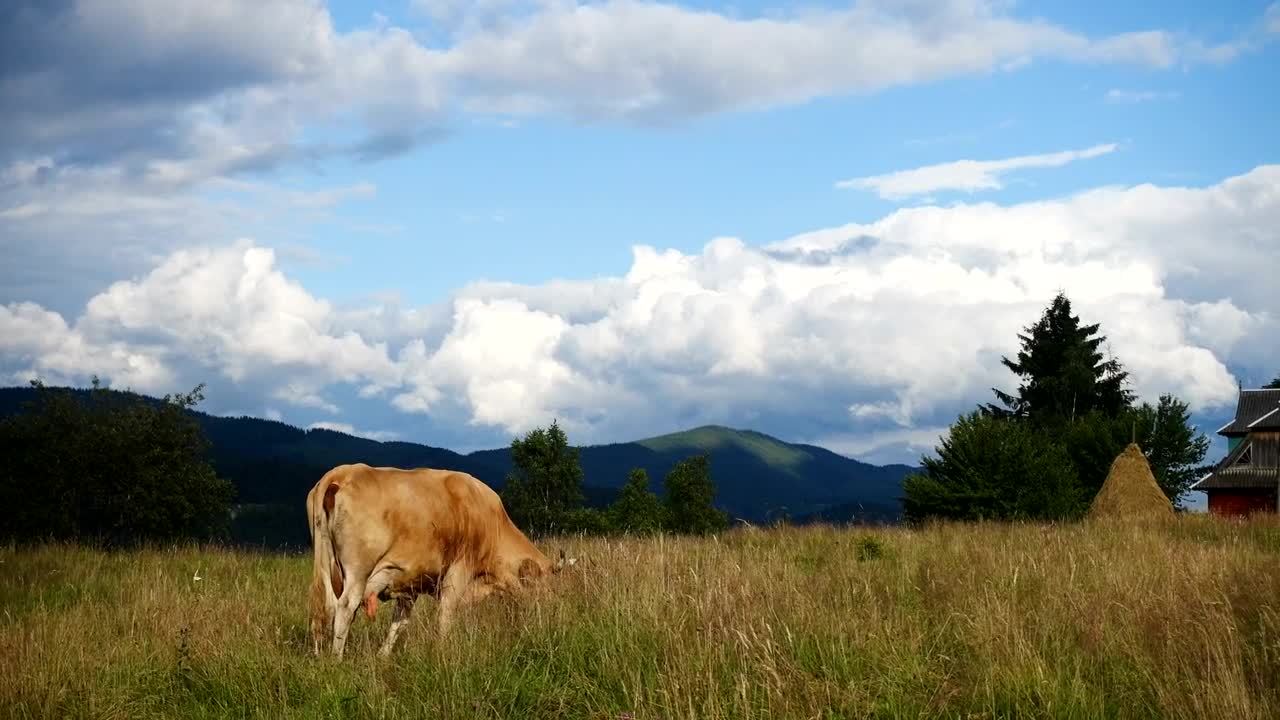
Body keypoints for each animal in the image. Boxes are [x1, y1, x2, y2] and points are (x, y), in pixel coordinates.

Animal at [306, 463, 575, 658]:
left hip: (327, 565)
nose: (552, 616)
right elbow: (445, 614)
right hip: (358, 571)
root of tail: (342, 472)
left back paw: (320, 656)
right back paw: (337, 659)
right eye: (544, 587)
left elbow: (399, 622)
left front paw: (383, 656)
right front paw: (444, 650)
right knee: (344, 607)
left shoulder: (408, 581)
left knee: (325, 608)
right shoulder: (459, 570)